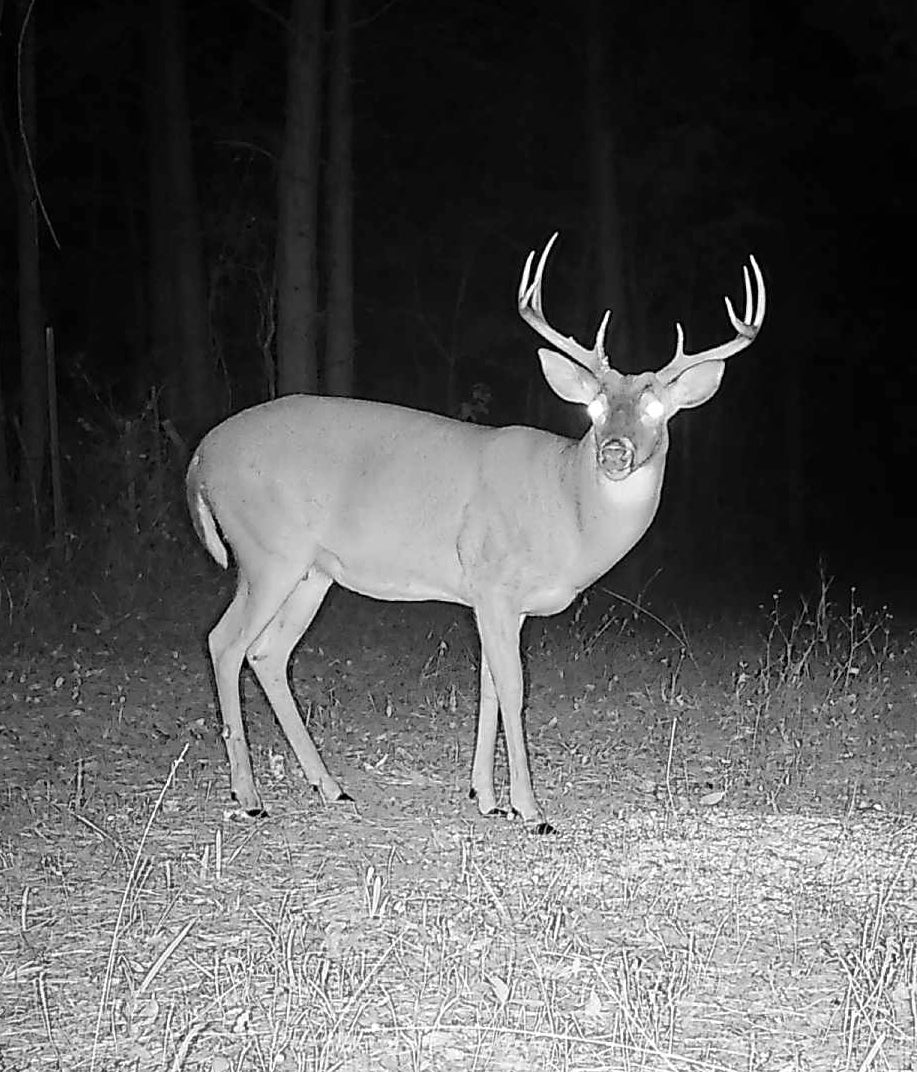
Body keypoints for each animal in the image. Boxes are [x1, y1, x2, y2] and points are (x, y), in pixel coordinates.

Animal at [186, 234, 765, 834]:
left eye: (655, 407)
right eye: (594, 406)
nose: (614, 452)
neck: (566, 509)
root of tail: (199, 456)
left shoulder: (500, 603)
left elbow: (489, 684)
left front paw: (485, 796)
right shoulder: (493, 581)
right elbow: (513, 688)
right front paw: (530, 809)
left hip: (312, 571)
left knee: (268, 653)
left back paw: (331, 788)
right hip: (266, 551)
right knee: (225, 642)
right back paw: (250, 795)